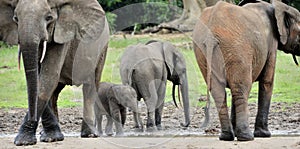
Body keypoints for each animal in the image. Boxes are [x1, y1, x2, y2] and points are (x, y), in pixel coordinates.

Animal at [0, 0, 109, 146]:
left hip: (101, 49)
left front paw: (23, 141)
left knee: (91, 85)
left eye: (49, 18)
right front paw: (51, 138)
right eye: (16, 19)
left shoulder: (63, 33)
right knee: (55, 92)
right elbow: (40, 80)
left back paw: (90, 134)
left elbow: (49, 75)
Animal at [192, 0, 300, 141]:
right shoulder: (271, 43)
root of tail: (211, 35)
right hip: (237, 48)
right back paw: (246, 137)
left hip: (203, 51)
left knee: (220, 91)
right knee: (241, 88)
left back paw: (227, 136)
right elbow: (267, 81)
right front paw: (264, 135)